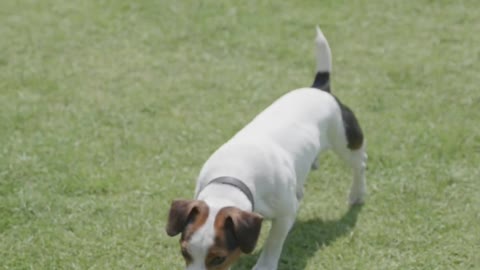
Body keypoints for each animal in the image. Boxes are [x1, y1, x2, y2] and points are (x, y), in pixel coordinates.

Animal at [167, 25, 366, 270]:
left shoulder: (284, 215)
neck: (232, 177)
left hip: (346, 140)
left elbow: (273, 240)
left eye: (219, 258)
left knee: (359, 163)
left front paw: (265, 265)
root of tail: (320, 88)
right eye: (184, 252)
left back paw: (357, 193)